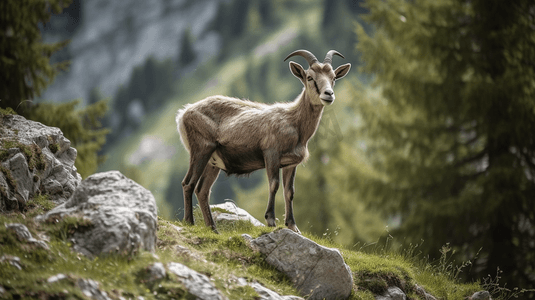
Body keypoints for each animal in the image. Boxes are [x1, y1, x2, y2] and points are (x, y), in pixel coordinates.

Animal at [176, 49, 352, 233]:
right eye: (310, 77)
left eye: (333, 77)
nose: (328, 94)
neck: (294, 123)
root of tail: (183, 114)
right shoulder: (271, 154)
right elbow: (274, 184)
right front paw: (271, 220)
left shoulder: (291, 164)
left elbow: (289, 191)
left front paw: (293, 226)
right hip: (202, 148)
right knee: (188, 183)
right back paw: (189, 222)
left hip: (213, 162)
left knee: (202, 190)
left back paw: (213, 229)